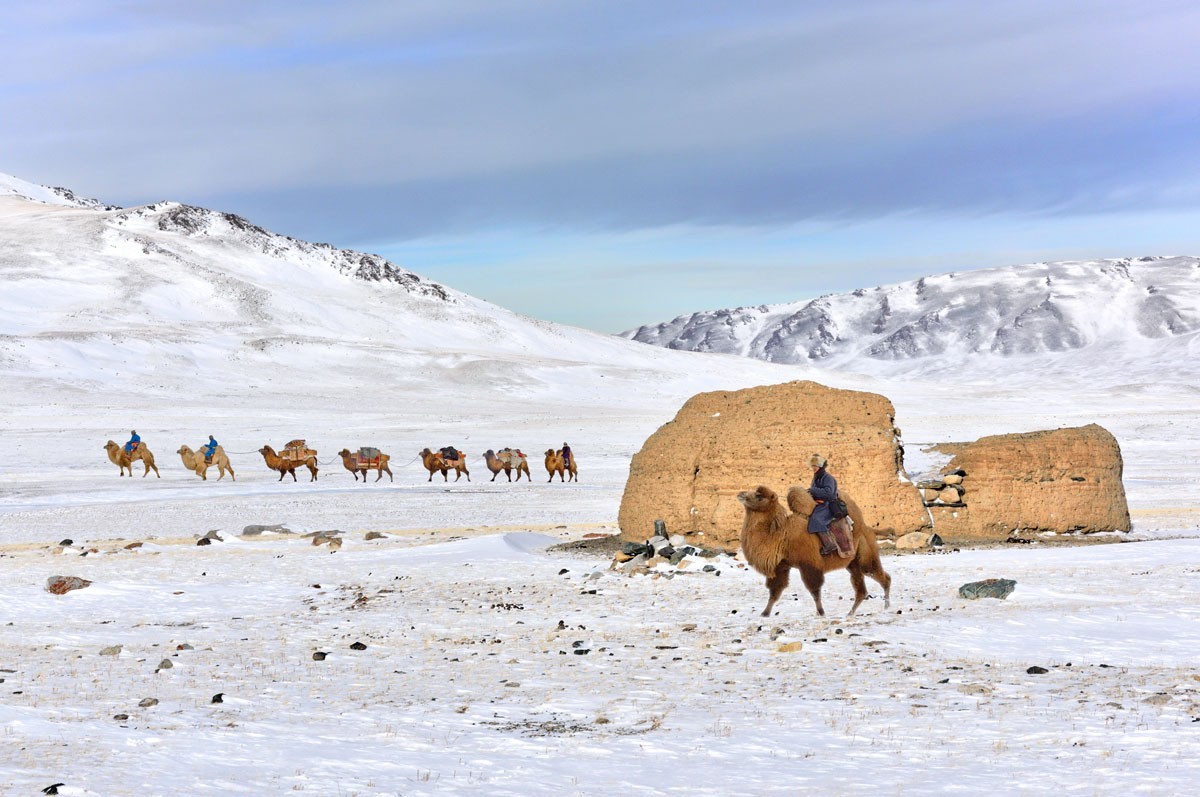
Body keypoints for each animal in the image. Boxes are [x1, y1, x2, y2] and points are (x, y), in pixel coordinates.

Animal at [729, 482, 892, 619]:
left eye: (759, 496)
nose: (741, 494)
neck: (781, 535)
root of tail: (869, 529)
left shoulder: (809, 564)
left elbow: (814, 590)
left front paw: (821, 612)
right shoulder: (781, 566)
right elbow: (775, 591)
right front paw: (765, 613)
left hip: (865, 557)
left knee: (882, 577)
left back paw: (886, 606)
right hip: (852, 564)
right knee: (861, 590)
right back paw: (850, 613)